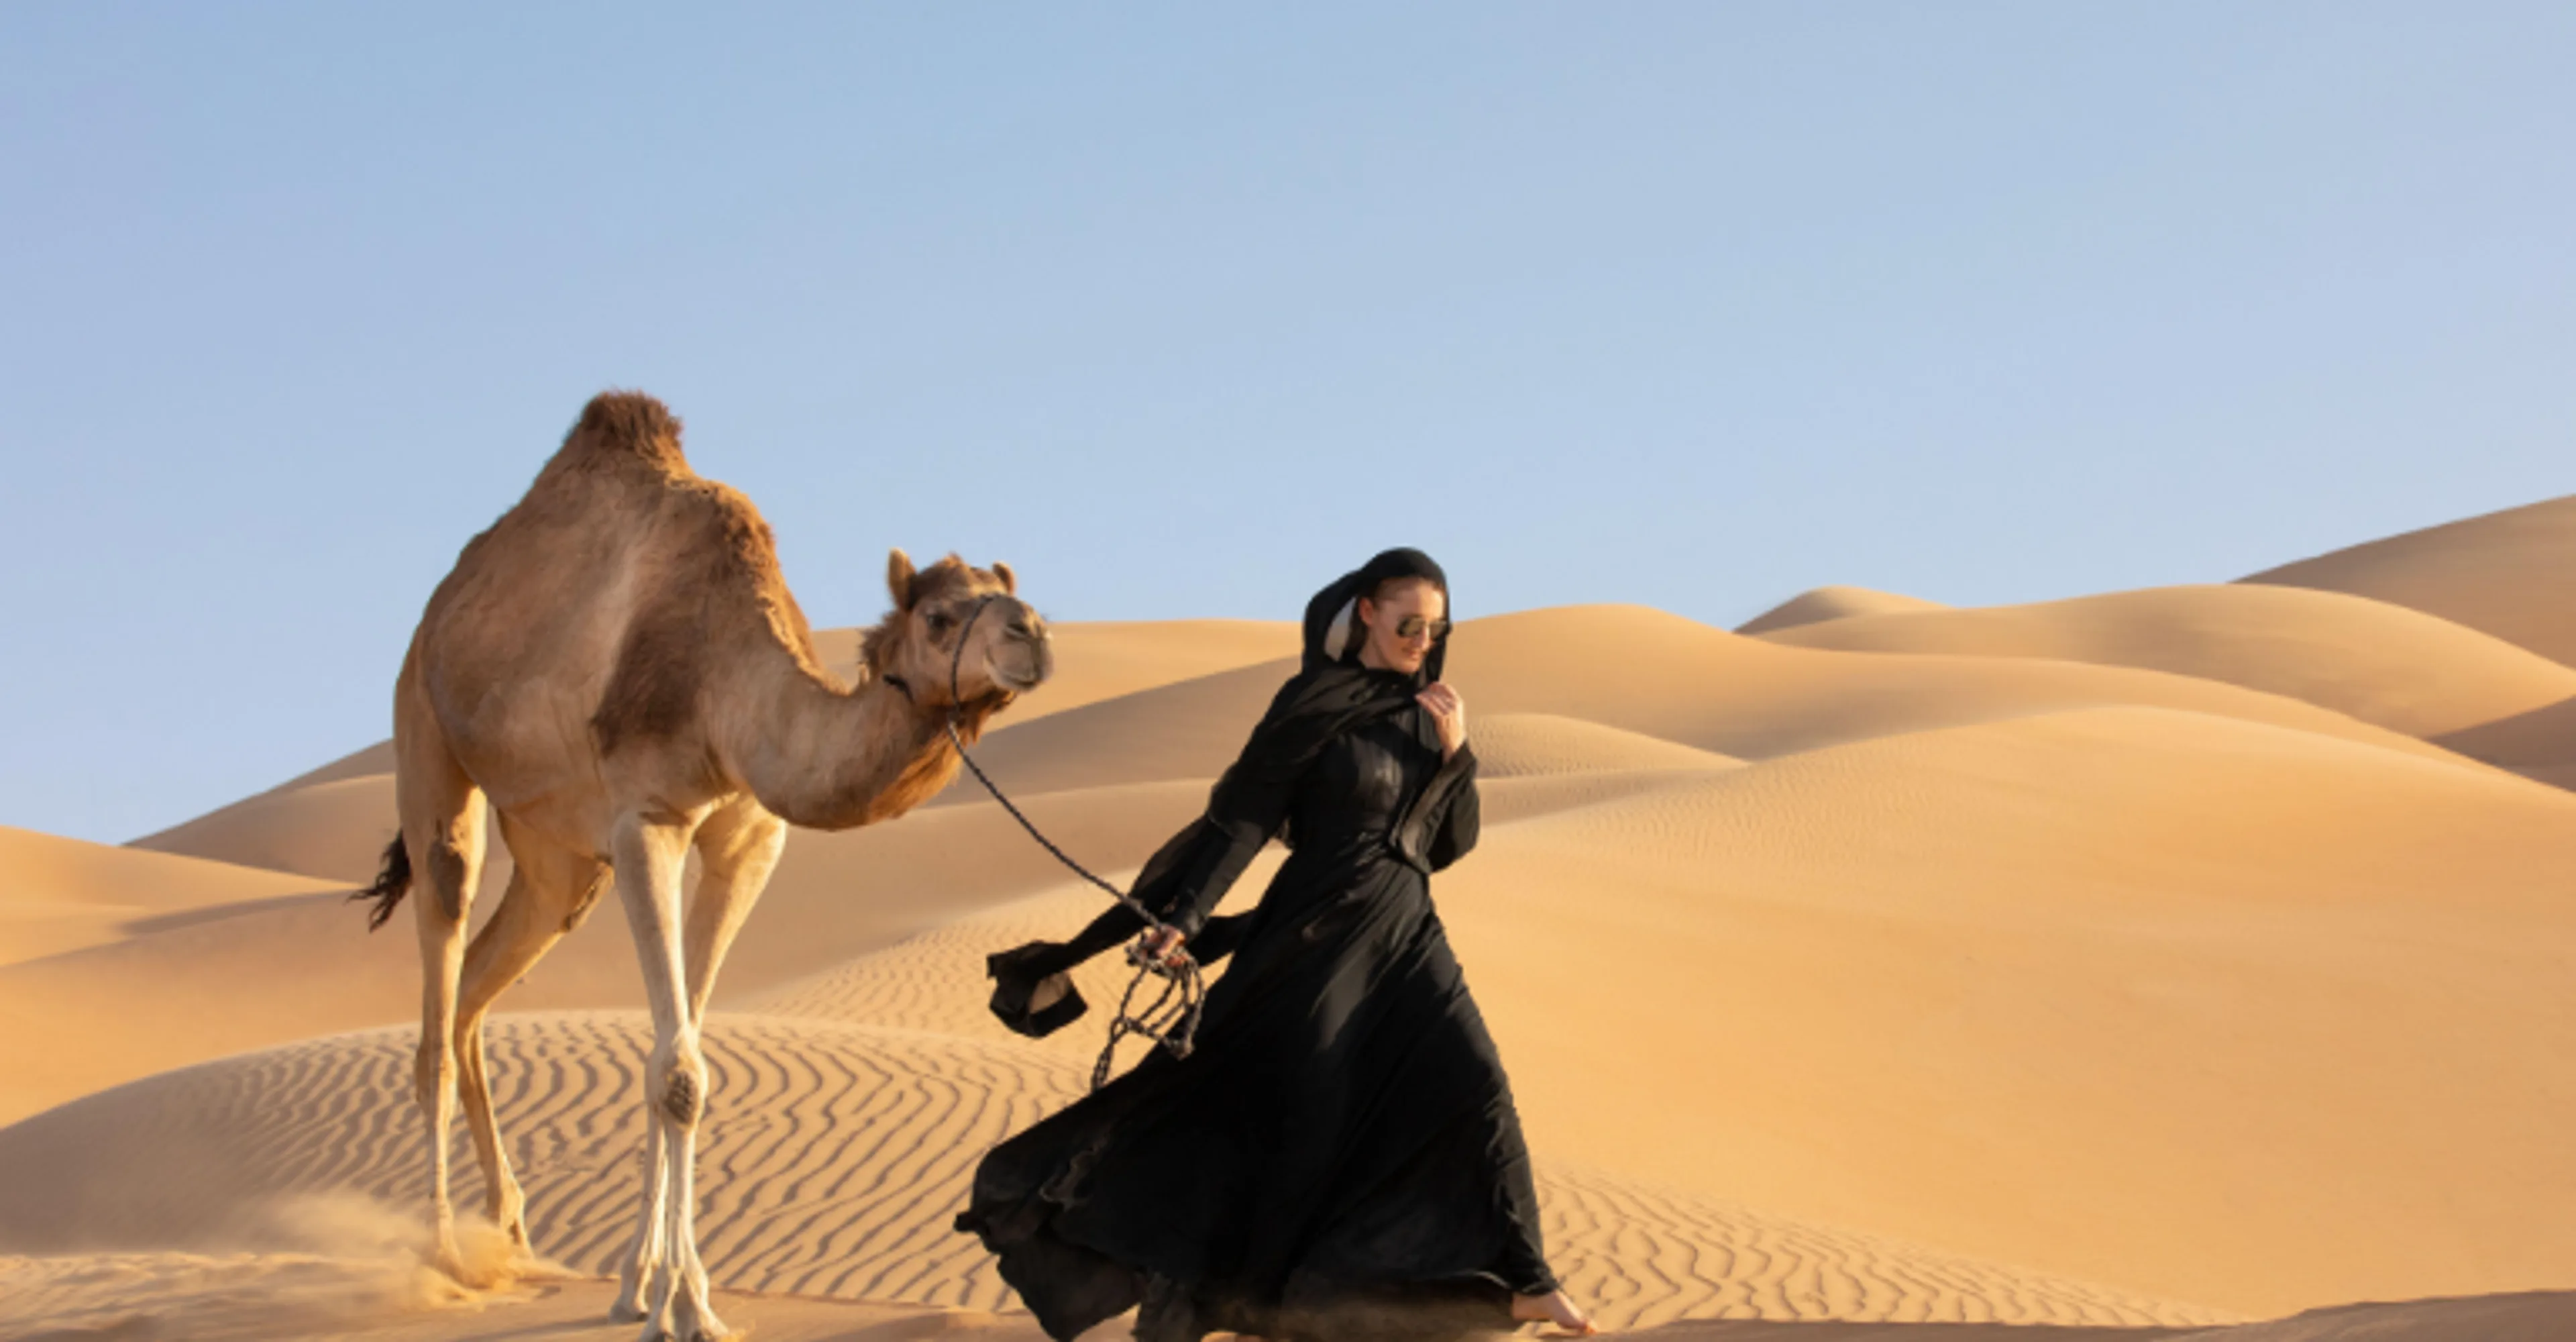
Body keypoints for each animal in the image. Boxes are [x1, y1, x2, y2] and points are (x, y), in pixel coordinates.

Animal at [351, 391, 1051, 1341]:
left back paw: (510, 1229)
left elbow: (681, 1048)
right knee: (440, 951)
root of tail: (439, 610)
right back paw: (443, 1253)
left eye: (1009, 595)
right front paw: (684, 1304)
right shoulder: (646, 819)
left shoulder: (747, 840)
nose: (1034, 635)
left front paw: (648, 1284)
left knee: (472, 998)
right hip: (426, 729)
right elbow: (677, 1071)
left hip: (558, 858)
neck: (729, 688)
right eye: (941, 617)